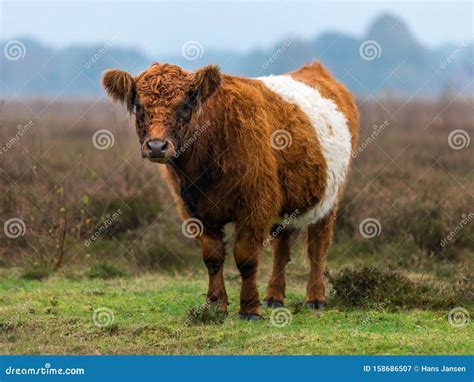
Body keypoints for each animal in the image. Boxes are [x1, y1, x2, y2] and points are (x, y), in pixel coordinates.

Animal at [102, 62, 358, 320]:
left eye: (185, 104)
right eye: (139, 105)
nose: (156, 146)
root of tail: (314, 69)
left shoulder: (255, 205)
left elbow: (246, 258)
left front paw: (249, 308)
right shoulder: (196, 211)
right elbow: (213, 258)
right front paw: (216, 305)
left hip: (329, 198)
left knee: (317, 247)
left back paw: (315, 298)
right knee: (282, 248)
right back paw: (274, 297)